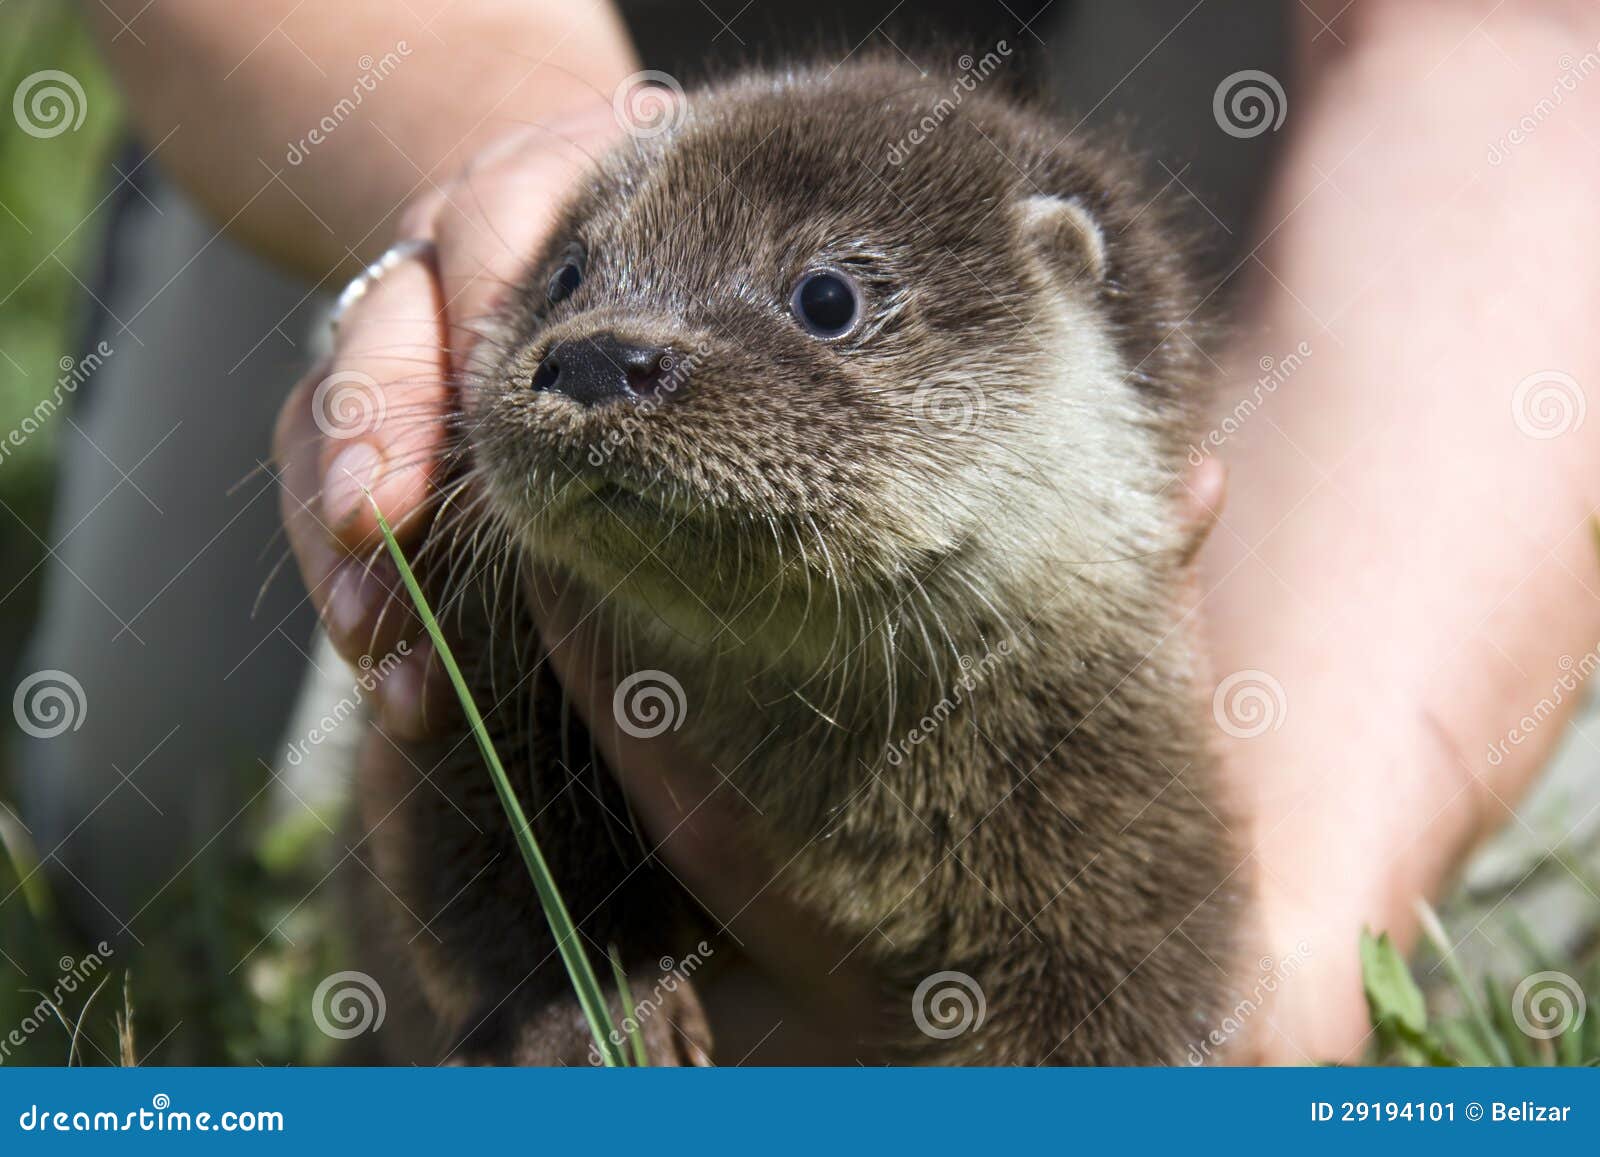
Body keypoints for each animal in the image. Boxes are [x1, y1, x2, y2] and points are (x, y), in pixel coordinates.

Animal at [356, 58, 1241, 1062]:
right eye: (566, 275)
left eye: (827, 298)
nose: (596, 356)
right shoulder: (491, 671)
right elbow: (483, 841)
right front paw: (591, 1012)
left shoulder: (1123, 811)